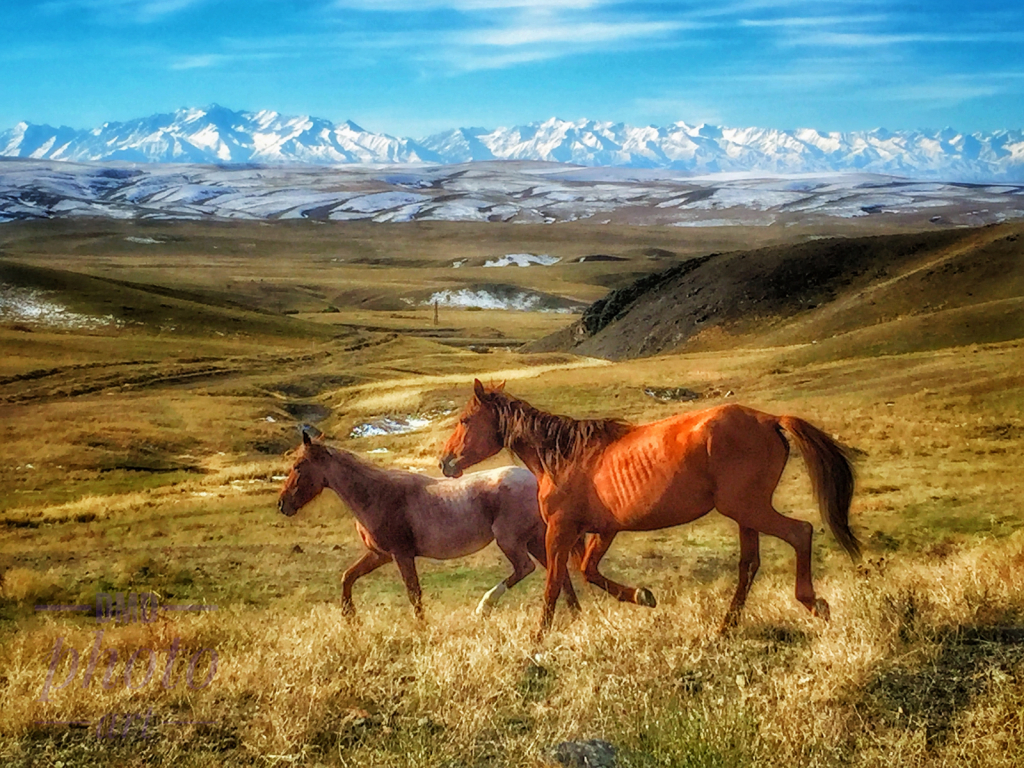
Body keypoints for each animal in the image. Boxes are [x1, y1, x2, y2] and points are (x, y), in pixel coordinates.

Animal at [276, 434, 581, 618]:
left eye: (299, 466)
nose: (282, 504)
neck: (376, 494)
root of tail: (535, 480)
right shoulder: (379, 555)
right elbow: (347, 577)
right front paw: (350, 617)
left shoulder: (401, 554)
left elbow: (414, 595)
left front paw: (421, 628)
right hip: (535, 539)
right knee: (558, 571)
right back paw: (573, 613)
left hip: (511, 540)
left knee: (525, 568)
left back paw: (485, 606)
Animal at [440, 380, 864, 638]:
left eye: (465, 419)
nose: (445, 463)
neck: (564, 457)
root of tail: (771, 420)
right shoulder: (603, 529)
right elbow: (588, 572)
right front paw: (642, 596)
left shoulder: (560, 529)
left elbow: (553, 584)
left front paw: (538, 638)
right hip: (746, 514)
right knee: (749, 564)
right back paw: (726, 627)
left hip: (749, 508)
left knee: (800, 532)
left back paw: (814, 604)